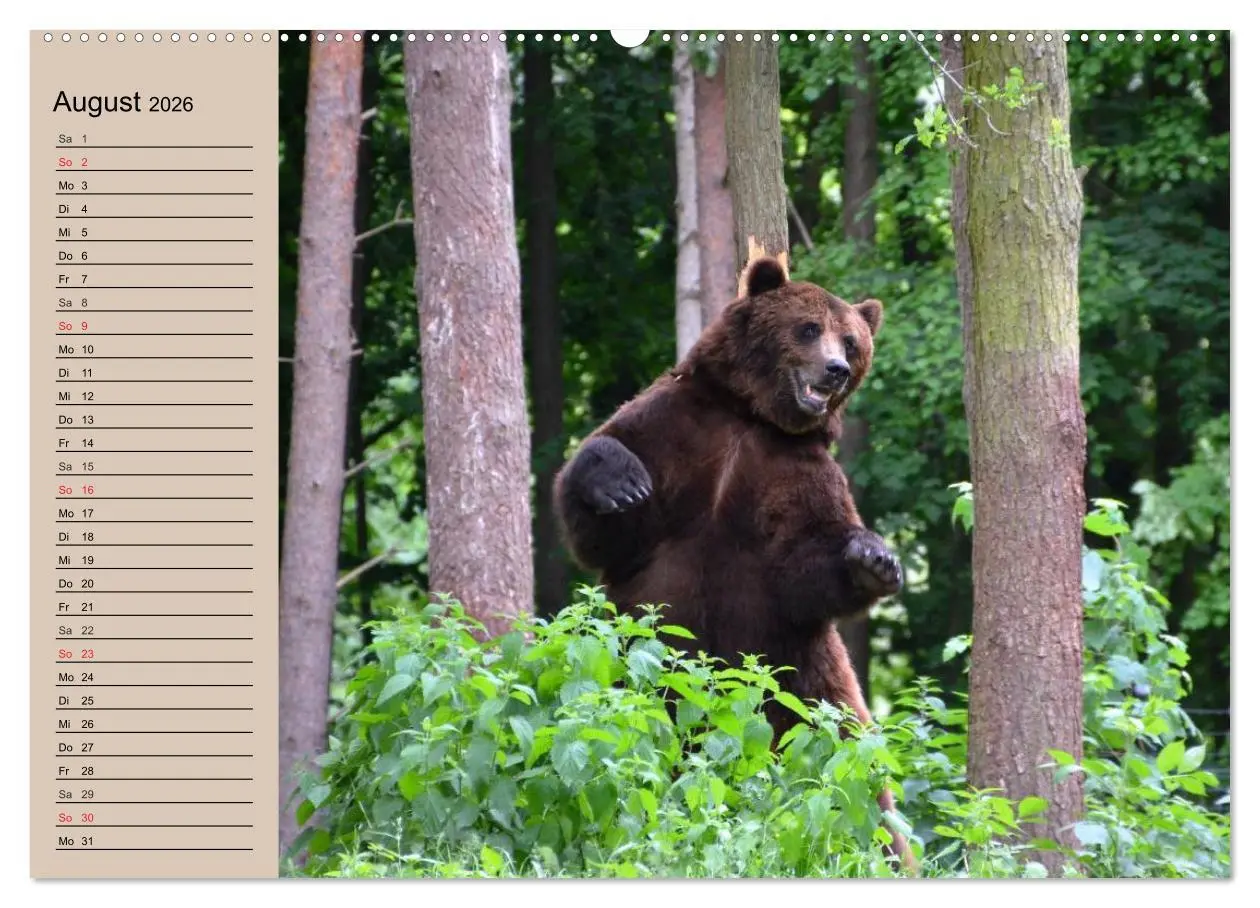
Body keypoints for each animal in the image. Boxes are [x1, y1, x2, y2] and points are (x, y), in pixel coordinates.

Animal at [553, 255, 912, 866]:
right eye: (809, 328)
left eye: (851, 341)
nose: (837, 369)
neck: (753, 418)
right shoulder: (675, 426)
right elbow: (603, 520)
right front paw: (619, 482)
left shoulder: (796, 471)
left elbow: (806, 563)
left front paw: (873, 558)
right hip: (636, 664)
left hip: (798, 675)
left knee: (850, 770)